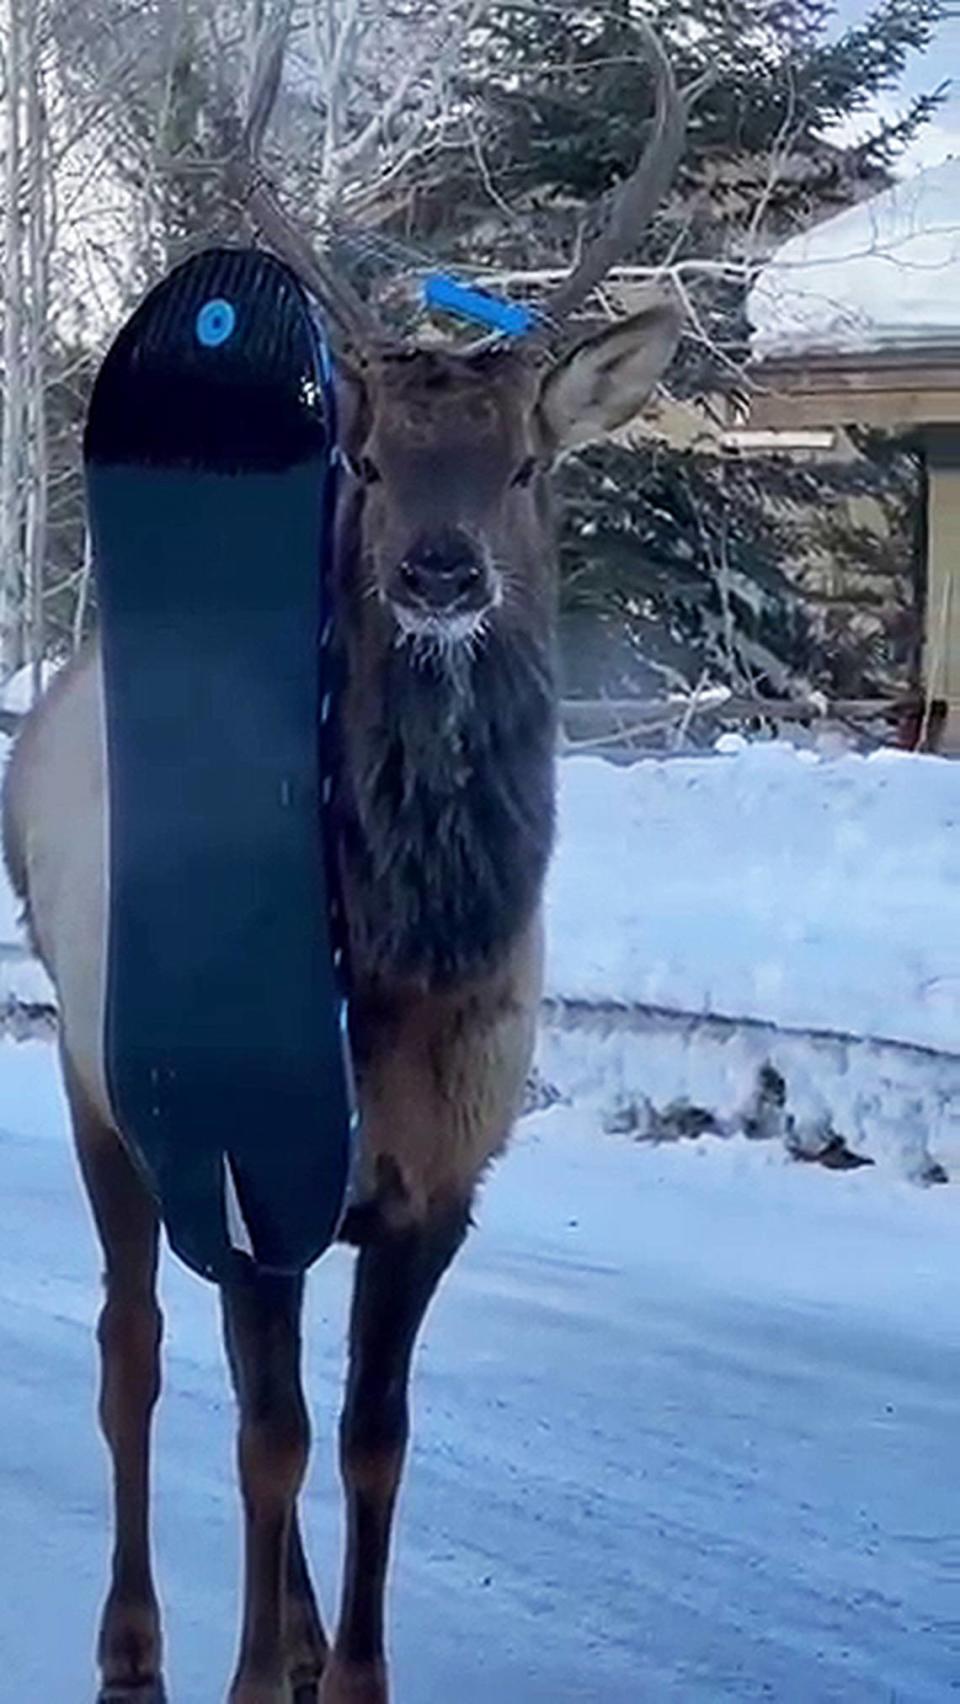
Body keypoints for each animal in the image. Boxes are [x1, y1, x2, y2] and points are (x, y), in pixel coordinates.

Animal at [3, 20, 688, 1697]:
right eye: (369, 464)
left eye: (522, 465)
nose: (440, 572)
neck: (391, 967)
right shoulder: (249, 1143)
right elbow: (272, 1437)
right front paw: (259, 1675)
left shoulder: (439, 1176)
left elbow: (372, 1441)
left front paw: (350, 1669)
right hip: (98, 1078)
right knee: (135, 1353)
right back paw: (136, 1646)